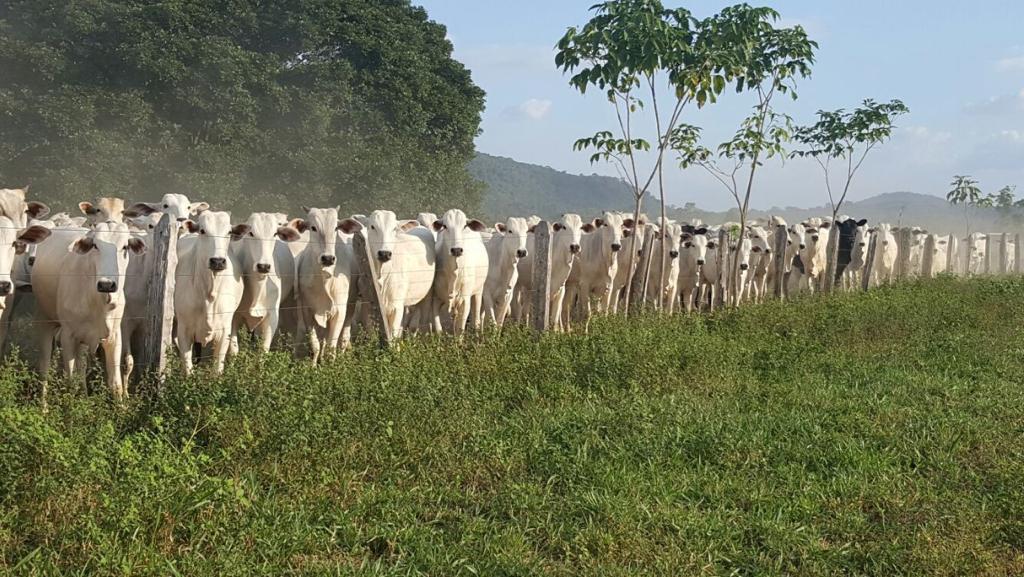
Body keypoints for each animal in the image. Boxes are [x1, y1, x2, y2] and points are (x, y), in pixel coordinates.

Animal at [32, 221, 145, 401]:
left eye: (125, 247)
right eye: (95, 246)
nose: (106, 284)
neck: (97, 302)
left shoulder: (114, 336)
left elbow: (116, 385)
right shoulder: (68, 336)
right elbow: (70, 382)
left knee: (81, 367)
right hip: (45, 321)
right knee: (44, 368)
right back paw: (43, 405)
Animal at [174, 212, 247, 375]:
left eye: (229, 232)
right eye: (202, 231)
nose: (218, 261)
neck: (209, 293)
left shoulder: (224, 332)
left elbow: (217, 369)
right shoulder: (184, 331)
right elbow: (187, 368)